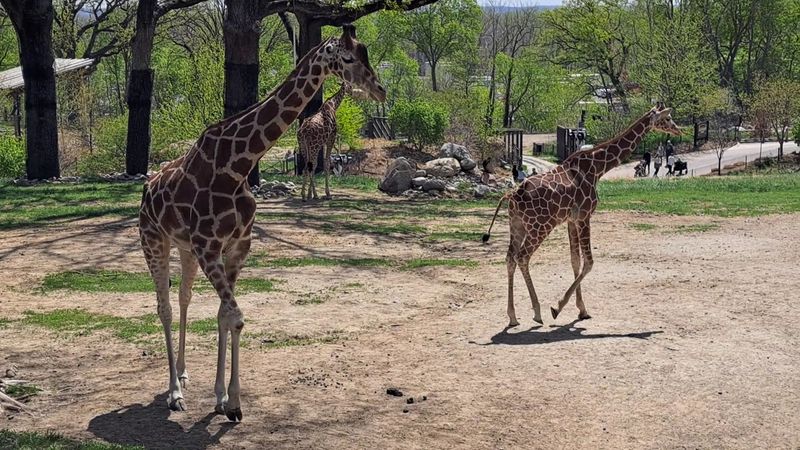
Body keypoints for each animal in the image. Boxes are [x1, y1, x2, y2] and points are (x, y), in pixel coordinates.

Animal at [137, 24, 385, 421]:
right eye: (347, 58)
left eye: (365, 53)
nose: (380, 89)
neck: (238, 165)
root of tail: (148, 185)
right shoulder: (209, 247)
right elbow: (236, 316)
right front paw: (234, 403)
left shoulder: (237, 245)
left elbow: (224, 315)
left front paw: (222, 398)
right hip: (153, 240)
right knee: (164, 307)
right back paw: (174, 391)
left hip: (184, 248)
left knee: (184, 297)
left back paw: (184, 373)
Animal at [482, 106, 680, 327]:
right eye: (668, 118)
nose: (678, 130)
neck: (597, 168)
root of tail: (512, 195)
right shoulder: (585, 215)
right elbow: (589, 262)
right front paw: (558, 307)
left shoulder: (572, 219)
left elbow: (575, 260)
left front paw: (582, 310)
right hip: (540, 226)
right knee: (522, 257)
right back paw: (537, 312)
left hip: (516, 225)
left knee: (510, 258)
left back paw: (513, 316)